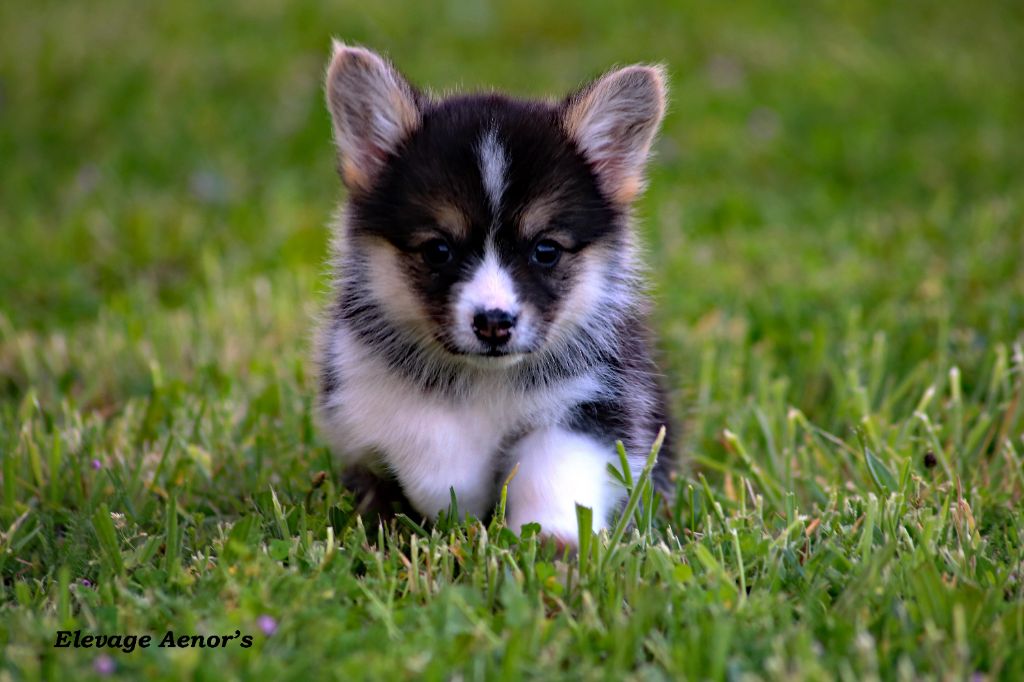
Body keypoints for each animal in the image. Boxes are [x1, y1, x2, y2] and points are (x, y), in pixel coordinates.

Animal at [315, 42, 673, 545]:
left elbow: (554, 466)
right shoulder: (361, 384)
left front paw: (552, 540)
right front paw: (457, 503)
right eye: (438, 249)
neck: (486, 379)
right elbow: (428, 439)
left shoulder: (595, 399)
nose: (494, 323)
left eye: (546, 250)